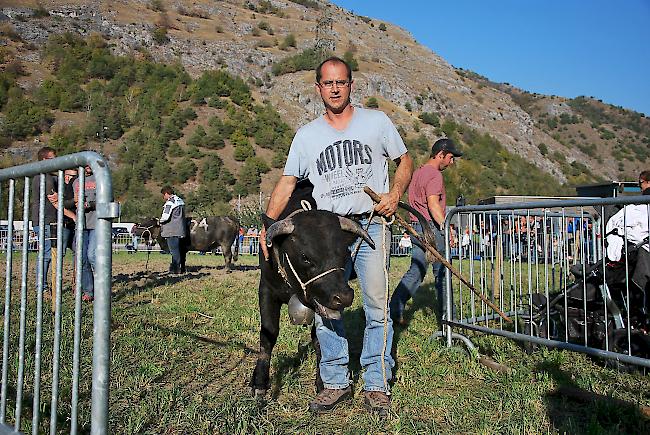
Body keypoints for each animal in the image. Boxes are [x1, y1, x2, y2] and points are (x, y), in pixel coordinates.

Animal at [252, 181, 378, 398]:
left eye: (345, 253)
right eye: (305, 257)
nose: (344, 297)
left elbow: (319, 340)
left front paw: (323, 381)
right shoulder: (266, 289)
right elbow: (268, 334)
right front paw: (259, 381)